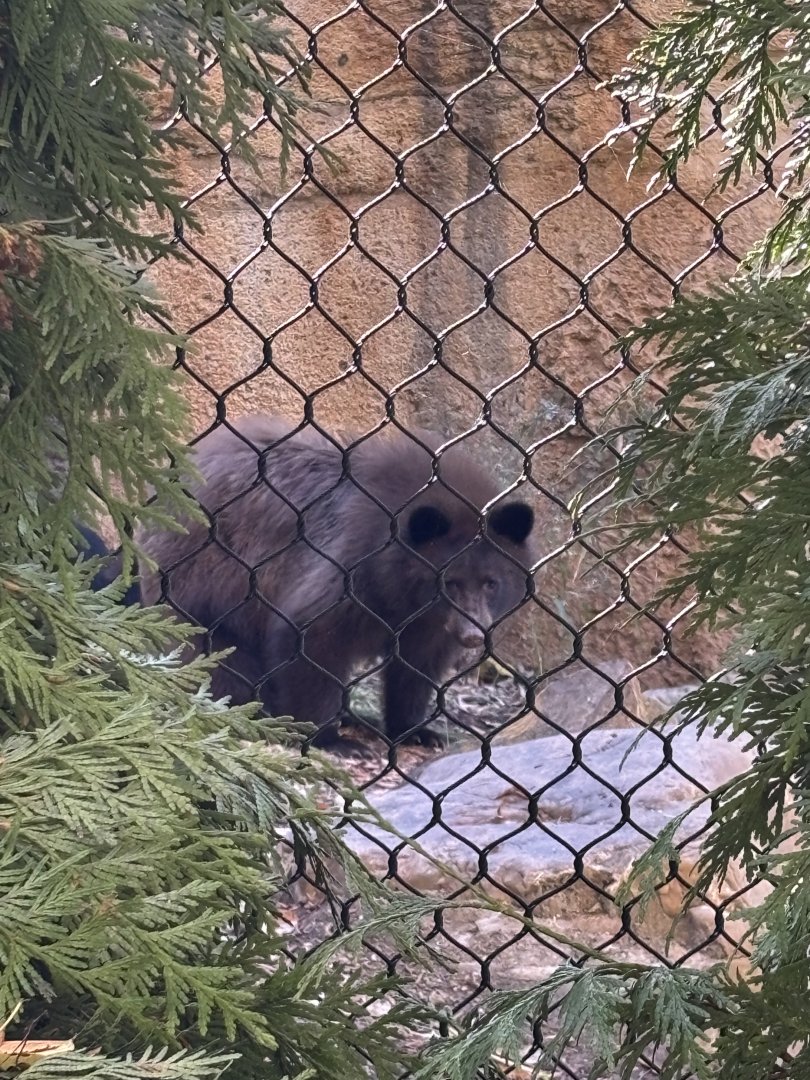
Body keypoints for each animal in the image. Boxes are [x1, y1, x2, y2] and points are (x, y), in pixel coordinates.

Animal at [137, 415, 535, 746]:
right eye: (450, 582)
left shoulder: (426, 621)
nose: (473, 635)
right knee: (214, 656)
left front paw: (417, 730)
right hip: (197, 582)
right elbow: (312, 636)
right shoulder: (351, 565)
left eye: (491, 582)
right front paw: (329, 738)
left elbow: (417, 666)